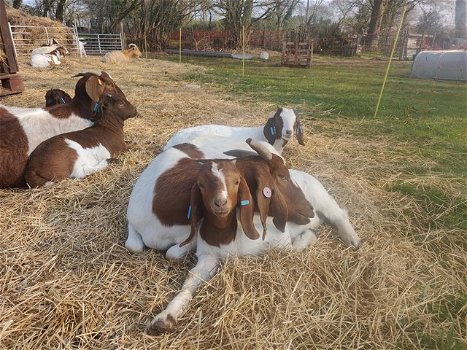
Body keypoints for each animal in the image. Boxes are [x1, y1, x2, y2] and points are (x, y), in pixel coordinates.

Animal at [125, 139, 362, 334]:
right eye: (282, 176)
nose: (309, 211)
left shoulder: (281, 241)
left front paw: (308, 237)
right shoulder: (207, 254)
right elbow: (188, 277)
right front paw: (166, 316)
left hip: (323, 198)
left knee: (339, 213)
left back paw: (352, 240)